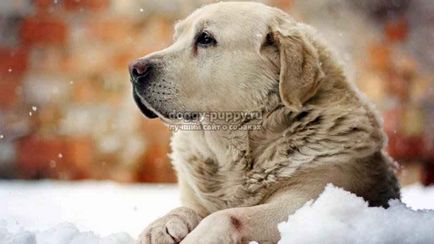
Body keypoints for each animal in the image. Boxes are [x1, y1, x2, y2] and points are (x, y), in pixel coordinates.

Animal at [128, 1, 400, 242]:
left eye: (205, 39)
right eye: (177, 37)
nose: (134, 69)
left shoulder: (309, 198)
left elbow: (229, 216)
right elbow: (187, 209)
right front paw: (161, 227)